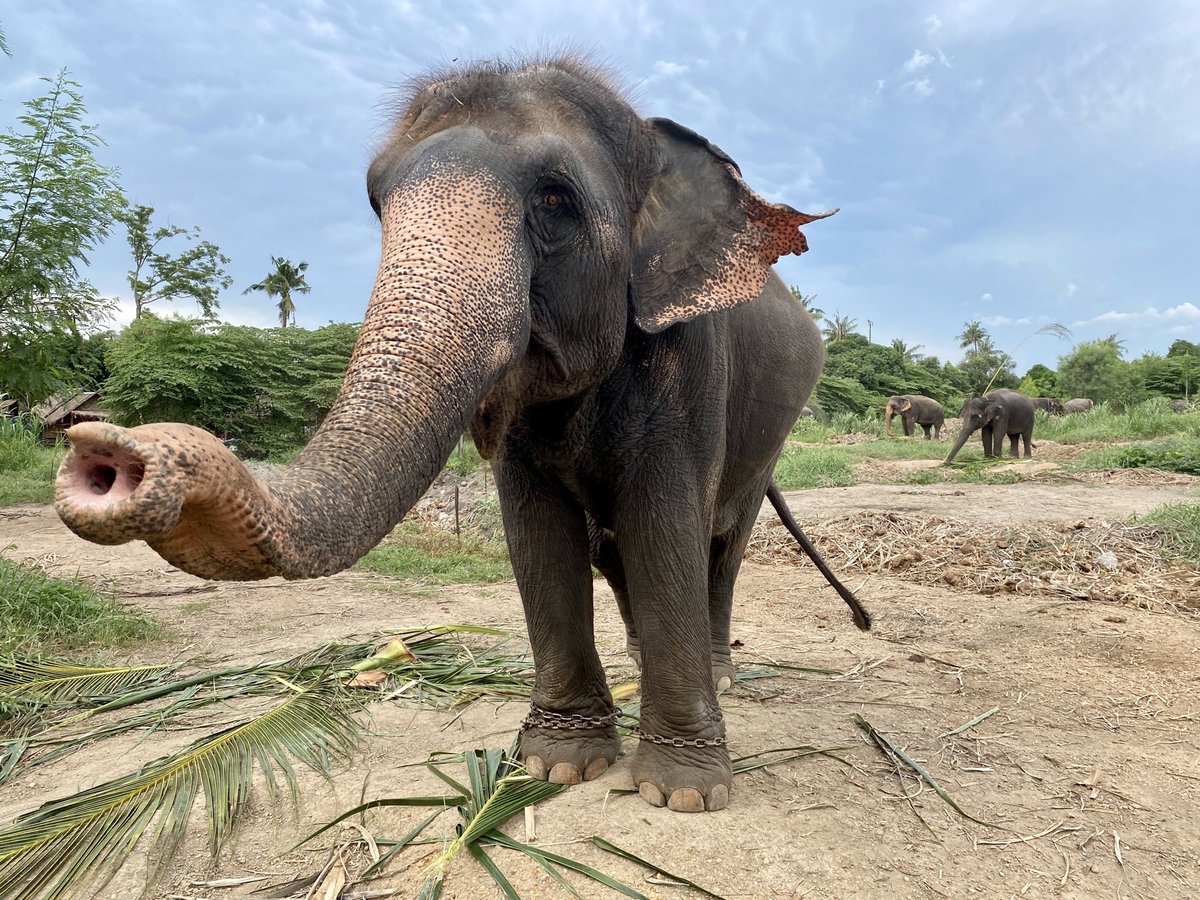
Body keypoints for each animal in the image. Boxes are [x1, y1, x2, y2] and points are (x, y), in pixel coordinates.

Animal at [52, 57, 863, 814]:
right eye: (376, 202)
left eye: (554, 200)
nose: (103, 452)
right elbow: (538, 536)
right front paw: (555, 767)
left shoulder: (691, 362)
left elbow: (664, 523)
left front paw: (682, 795)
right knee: (614, 549)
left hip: (773, 427)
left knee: (721, 541)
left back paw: (720, 670)